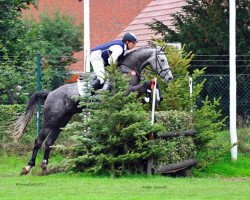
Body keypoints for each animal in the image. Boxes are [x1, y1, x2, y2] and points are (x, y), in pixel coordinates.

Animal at [11, 46, 172, 174]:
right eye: (162, 60)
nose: (170, 78)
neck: (128, 69)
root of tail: (50, 93)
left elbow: (149, 85)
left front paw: (155, 97)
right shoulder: (125, 92)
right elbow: (144, 84)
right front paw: (153, 97)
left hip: (62, 120)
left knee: (49, 141)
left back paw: (44, 167)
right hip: (51, 119)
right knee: (39, 140)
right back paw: (28, 167)